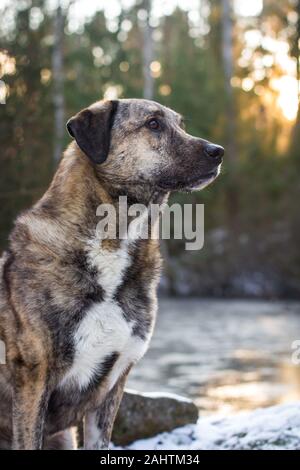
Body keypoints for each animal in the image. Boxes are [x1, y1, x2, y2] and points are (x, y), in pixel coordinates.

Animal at [0, 97, 223, 450]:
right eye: (153, 123)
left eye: (181, 125)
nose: (219, 151)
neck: (111, 242)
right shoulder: (32, 380)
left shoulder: (111, 385)